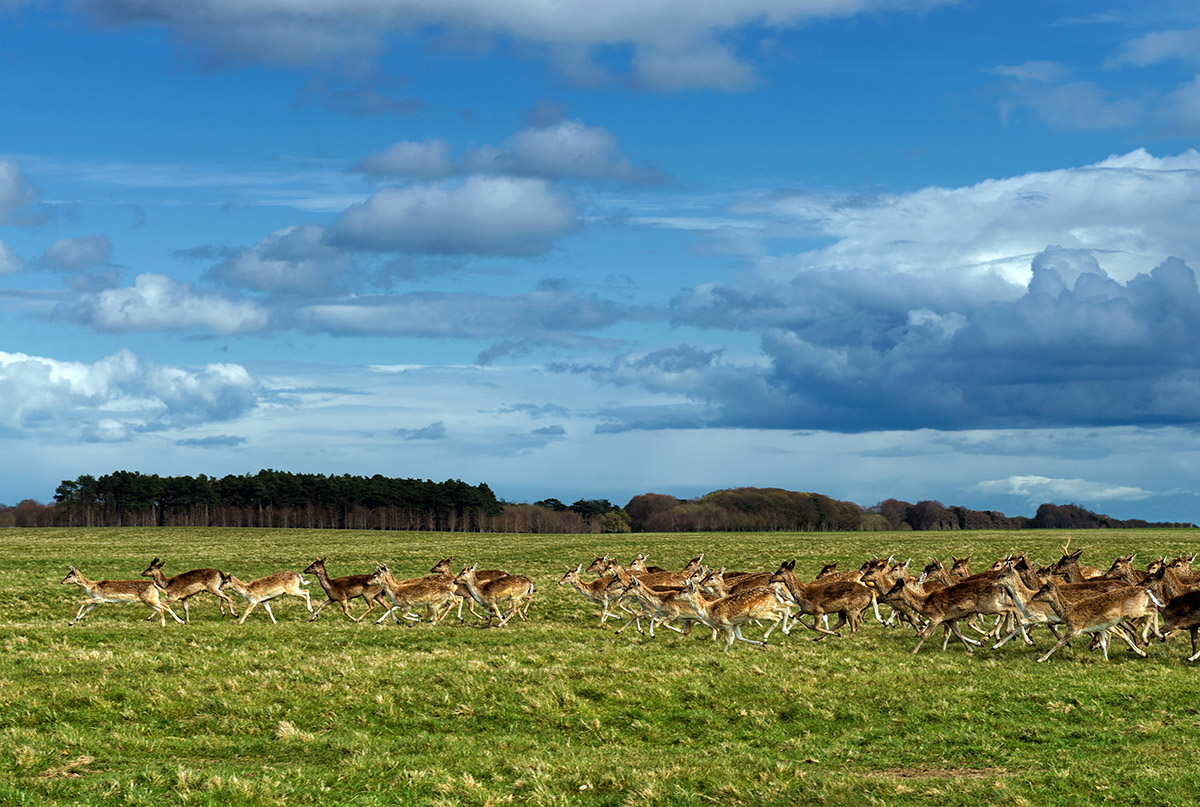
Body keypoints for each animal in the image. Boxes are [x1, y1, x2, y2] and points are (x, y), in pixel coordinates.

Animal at [1029, 580, 1164, 662]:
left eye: (1043, 590)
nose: (1033, 597)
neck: (1067, 612)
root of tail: (1145, 591)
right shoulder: (1099, 628)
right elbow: (1103, 644)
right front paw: (1106, 659)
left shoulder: (1074, 628)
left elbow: (1059, 642)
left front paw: (1041, 659)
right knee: (1151, 611)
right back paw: (1150, 644)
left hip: (1133, 610)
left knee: (1152, 610)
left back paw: (1148, 638)